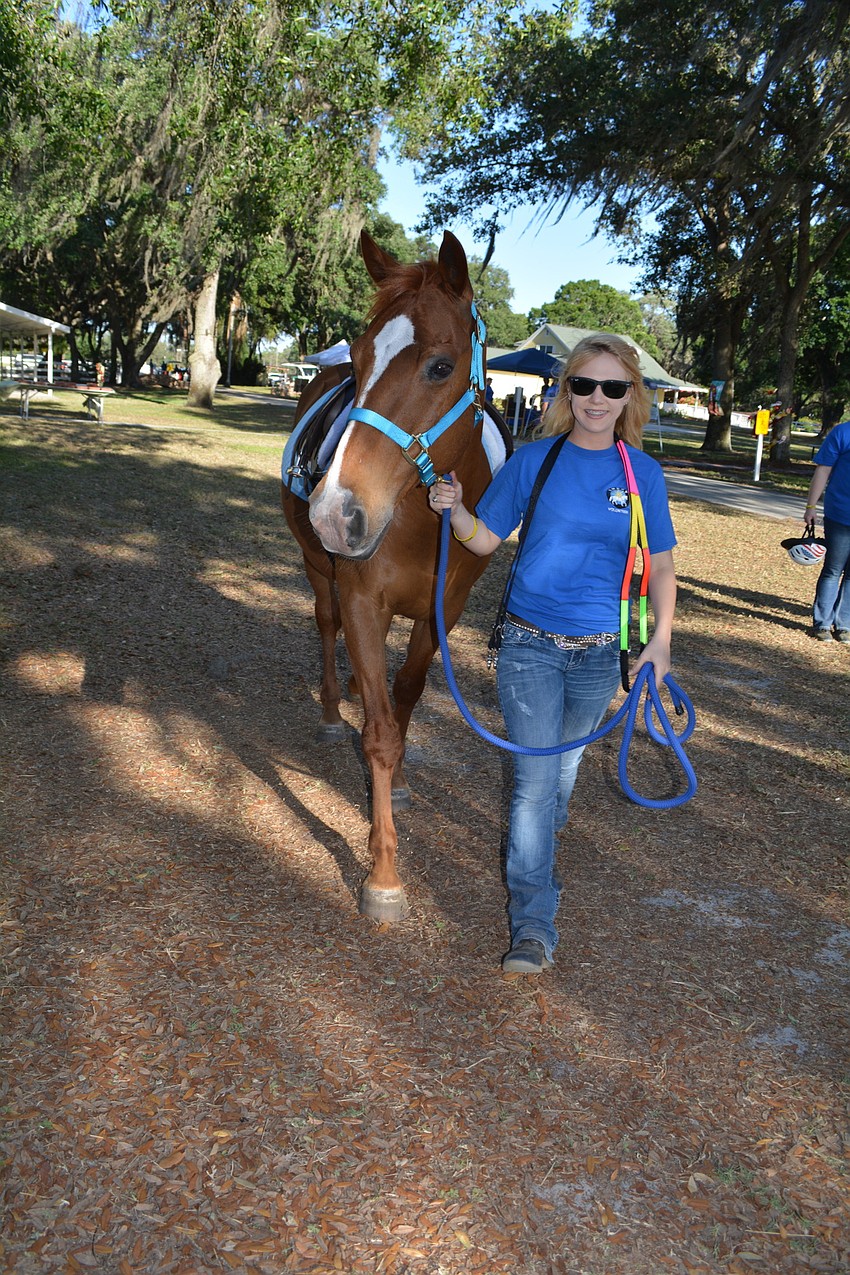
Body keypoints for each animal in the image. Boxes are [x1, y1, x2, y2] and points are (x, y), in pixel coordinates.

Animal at [281, 228, 510, 924]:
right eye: (359, 360)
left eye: (440, 366)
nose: (337, 512)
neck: (418, 518)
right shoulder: (362, 598)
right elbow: (380, 733)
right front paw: (383, 871)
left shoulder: (443, 611)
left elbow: (405, 701)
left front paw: (401, 784)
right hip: (318, 571)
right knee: (326, 625)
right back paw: (336, 707)